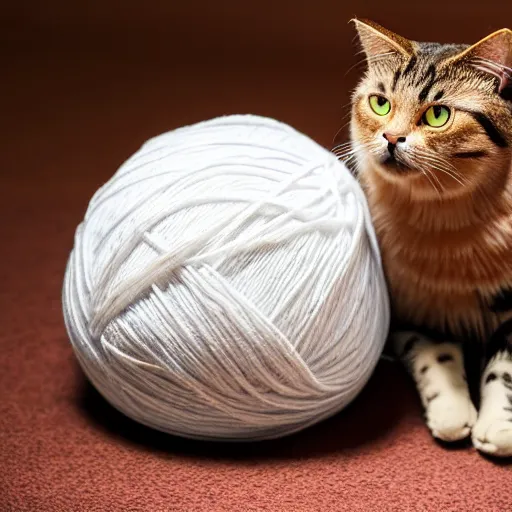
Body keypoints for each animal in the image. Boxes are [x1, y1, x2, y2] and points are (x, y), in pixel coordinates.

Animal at [342, 18, 512, 458]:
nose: (390, 138)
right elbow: (434, 356)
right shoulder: (414, 303)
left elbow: (505, 368)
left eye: (438, 114)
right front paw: (451, 413)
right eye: (380, 103)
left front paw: (498, 426)